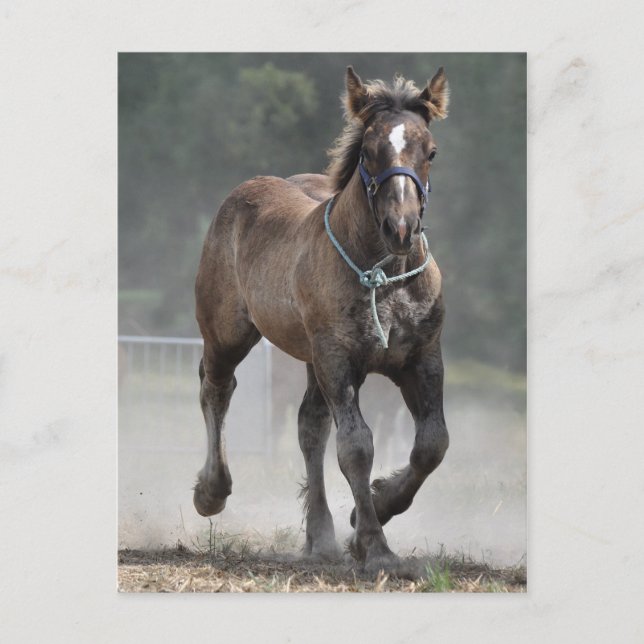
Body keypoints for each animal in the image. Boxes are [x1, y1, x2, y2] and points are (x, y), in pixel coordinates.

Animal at [193, 66, 450, 574]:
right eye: (368, 151)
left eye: (430, 151)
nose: (401, 228)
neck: (383, 276)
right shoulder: (338, 358)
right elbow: (356, 447)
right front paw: (375, 546)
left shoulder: (422, 357)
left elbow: (432, 444)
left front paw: (376, 507)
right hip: (228, 334)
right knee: (216, 389)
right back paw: (212, 492)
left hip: (311, 359)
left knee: (309, 426)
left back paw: (321, 536)